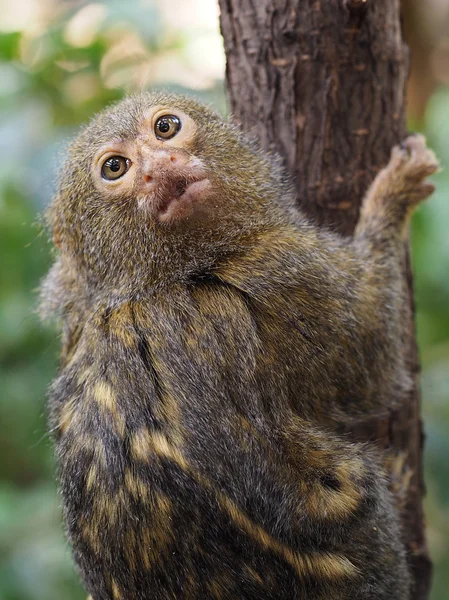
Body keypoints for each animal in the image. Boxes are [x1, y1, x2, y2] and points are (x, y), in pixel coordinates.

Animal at [40, 90, 440, 600]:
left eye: (166, 128)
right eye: (116, 168)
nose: (158, 168)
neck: (156, 280)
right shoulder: (286, 270)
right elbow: (377, 353)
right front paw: (393, 194)